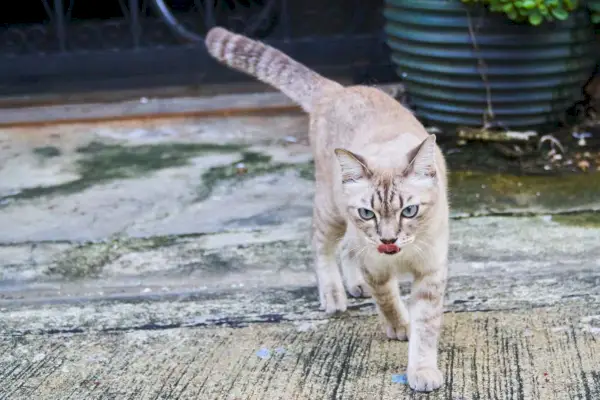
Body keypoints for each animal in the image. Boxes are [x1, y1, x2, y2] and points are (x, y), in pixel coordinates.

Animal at [204, 26, 448, 392]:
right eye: (368, 213)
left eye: (409, 211)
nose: (388, 240)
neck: (399, 257)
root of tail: (337, 89)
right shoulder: (375, 264)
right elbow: (388, 300)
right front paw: (399, 326)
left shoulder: (430, 272)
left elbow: (426, 328)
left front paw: (421, 370)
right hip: (331, 211)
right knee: (322, 246)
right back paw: (334, 296)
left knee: (345, 248)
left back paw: (354, 285)